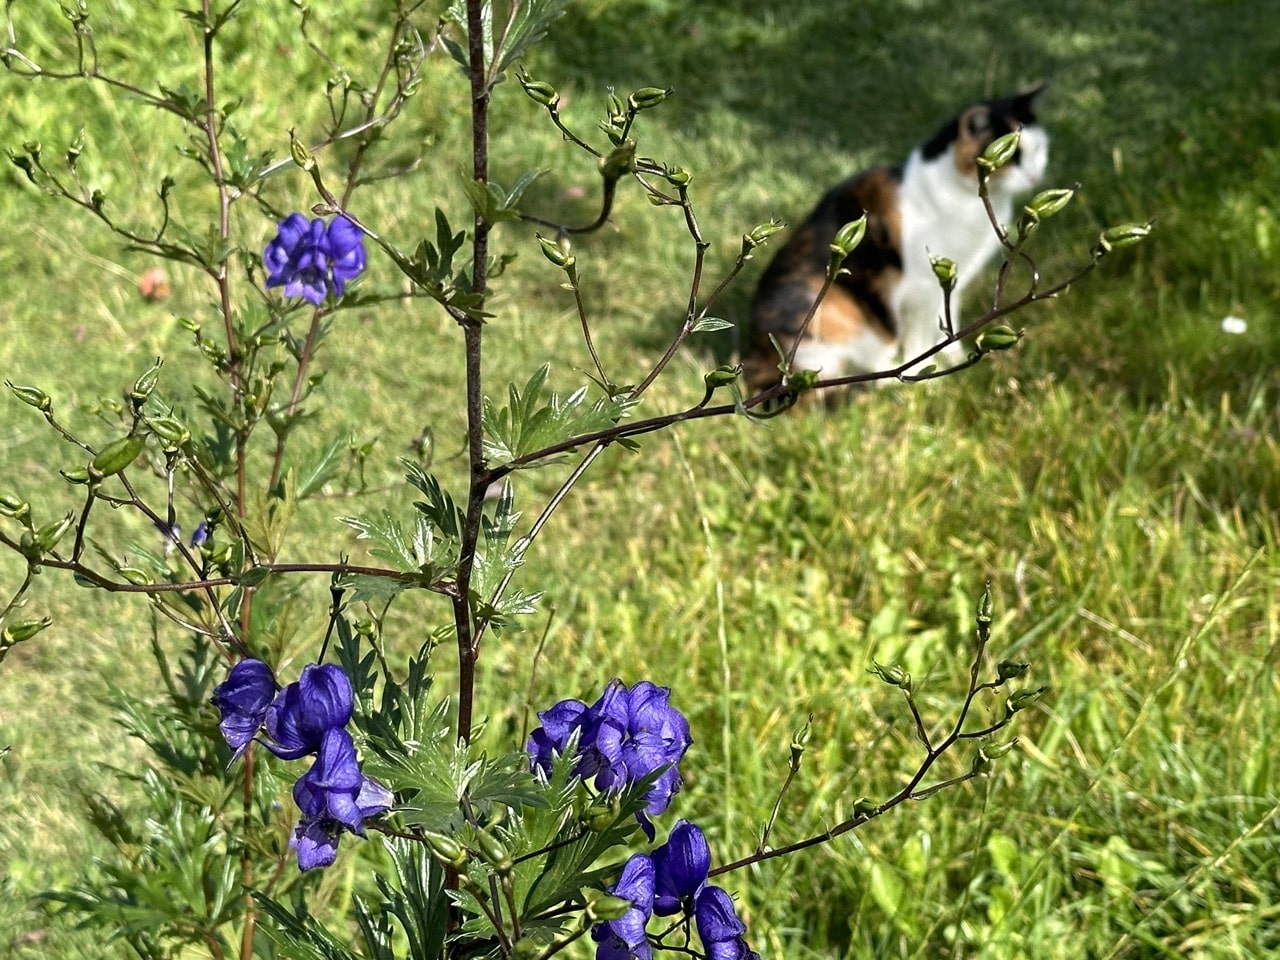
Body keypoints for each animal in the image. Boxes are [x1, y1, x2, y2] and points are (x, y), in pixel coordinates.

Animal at [742, 84, 1049, 391]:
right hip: (835, 308)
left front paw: (953, 354)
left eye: (1039, 151)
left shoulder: (955, 278)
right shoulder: (921, 290)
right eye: (1015, 159)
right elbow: (921, 339)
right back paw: (889, 378)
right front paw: (926, 378)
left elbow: (949, 317)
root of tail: (754, 353)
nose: (1035, 176)